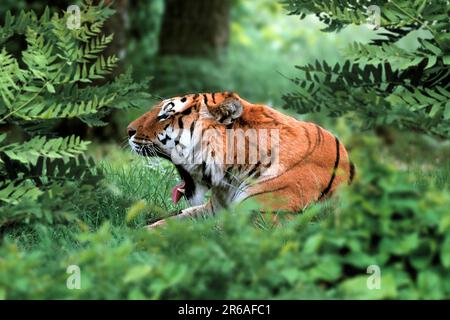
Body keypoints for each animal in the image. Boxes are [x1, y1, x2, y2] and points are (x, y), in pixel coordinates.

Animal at [127, 91, 356, 229]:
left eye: (166, 114)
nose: (128, 130)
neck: (231, 175)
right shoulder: (212, 210)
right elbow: (170, 223)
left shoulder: (260, 221)